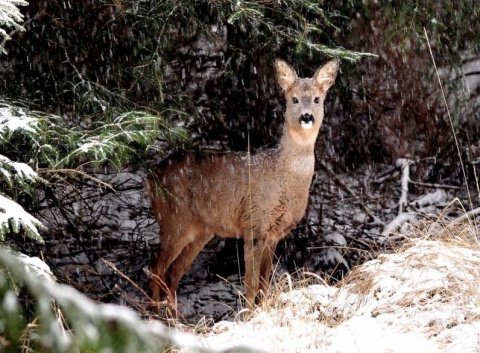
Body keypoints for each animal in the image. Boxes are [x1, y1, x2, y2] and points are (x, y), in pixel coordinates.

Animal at [146, 58, 338, 314]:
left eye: (317, 99)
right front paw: (248, 314)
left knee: (172, 274)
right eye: (294, 99)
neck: (282, 178)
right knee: (155, 270)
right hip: (174, 221)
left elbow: (265, 282)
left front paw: (262, 311)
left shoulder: (275, 233)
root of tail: (150, 178)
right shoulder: (254, 223)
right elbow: (250, 282)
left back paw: (175, 318)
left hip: (200, 230)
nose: (306, 117)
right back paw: (156, 317)